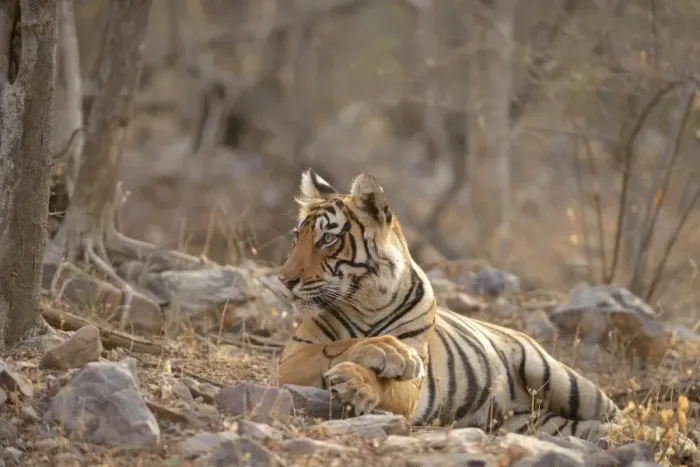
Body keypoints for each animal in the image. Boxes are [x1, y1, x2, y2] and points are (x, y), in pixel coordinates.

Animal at [276, 168, 622, 441]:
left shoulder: (413, 383)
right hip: (531, 422)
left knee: (613, 412)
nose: (284, 280)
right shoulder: (293, 357)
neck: (368, 301)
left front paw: (358, 382)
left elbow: (386, 382)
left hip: (557, 376)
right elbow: (342, 344)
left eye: (327, 240)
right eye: (296, 237)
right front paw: (386, 352)